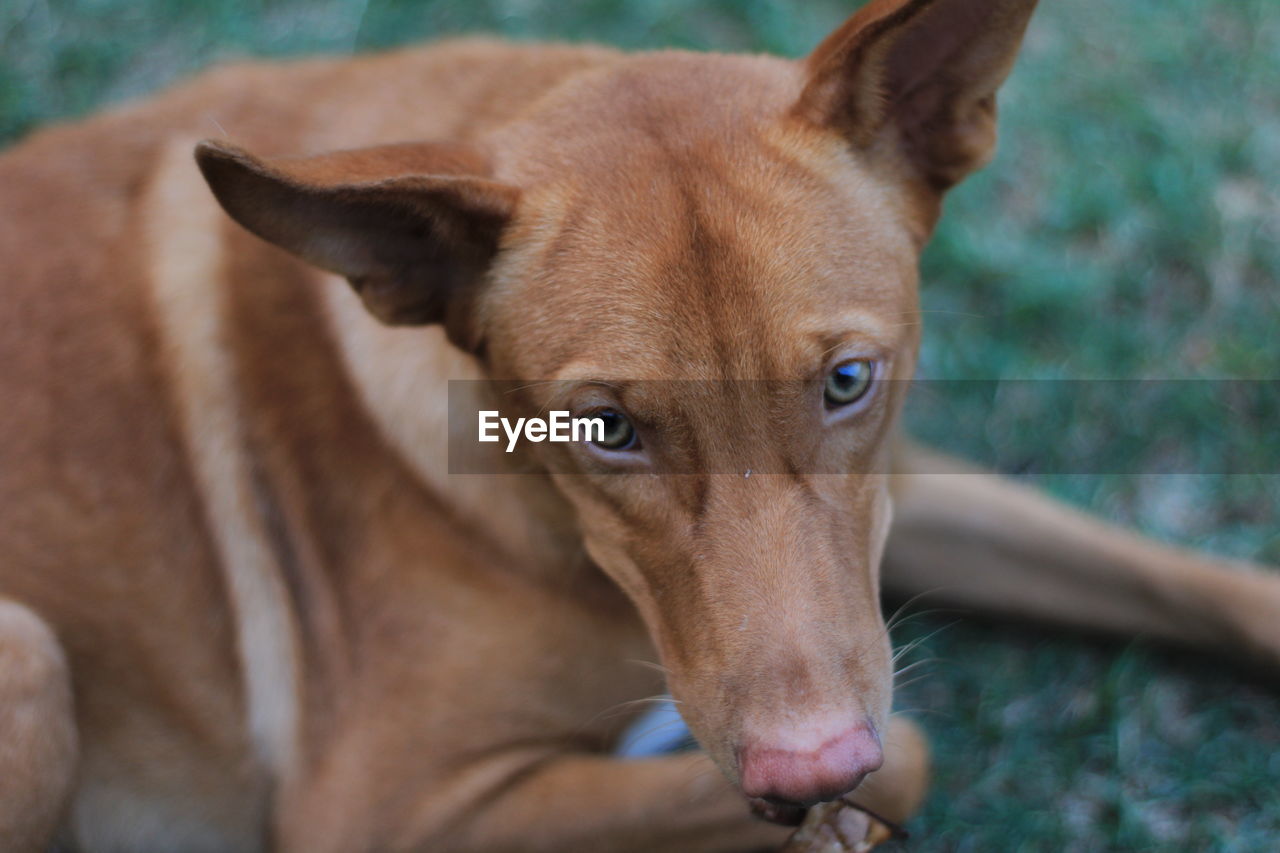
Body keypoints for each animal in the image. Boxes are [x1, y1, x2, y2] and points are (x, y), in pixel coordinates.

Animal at [2, 0, 1280, 845]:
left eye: (847, 382)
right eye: (606, 429)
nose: (806, 761)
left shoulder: (889, 494)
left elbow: (1198, 584)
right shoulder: (394, 812)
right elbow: (905, 756)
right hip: (31, 657)